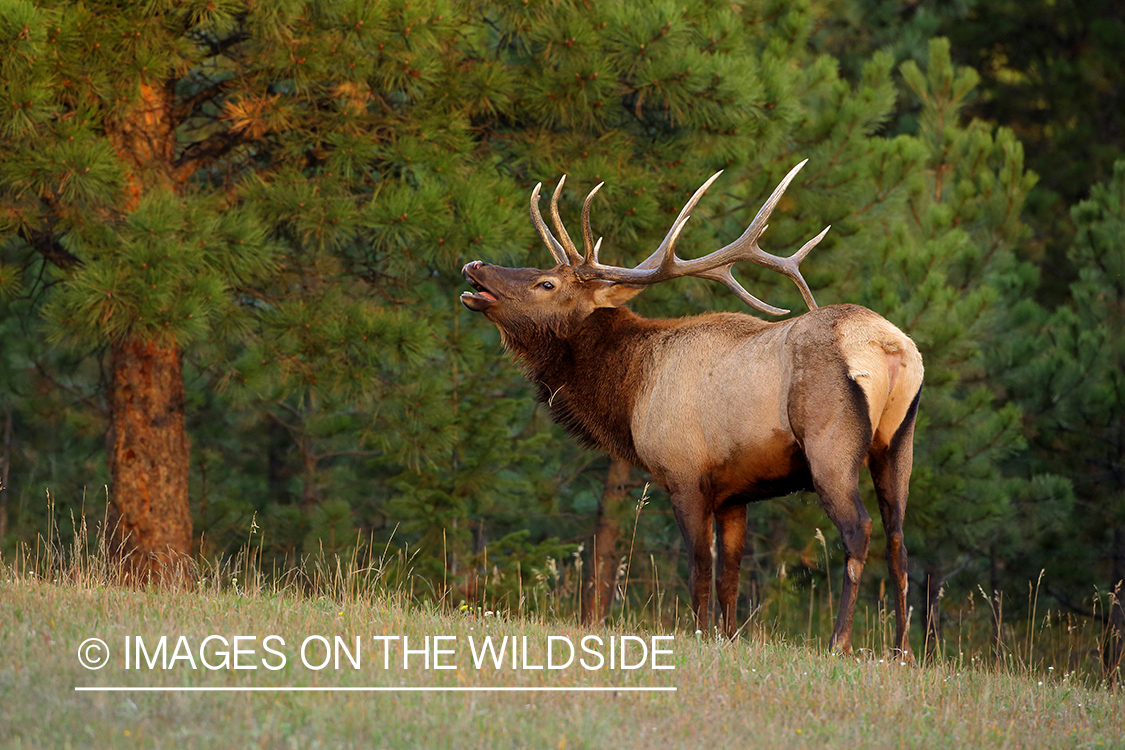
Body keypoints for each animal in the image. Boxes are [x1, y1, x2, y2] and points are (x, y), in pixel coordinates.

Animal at [456, 159, 922, 656]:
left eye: (547, 282)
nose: (475, 264)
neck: (630, 394)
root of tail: (889, 347)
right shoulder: (736, 493)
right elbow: (730, 578)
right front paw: (729, 636)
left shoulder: (683, 473)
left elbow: (699, 567)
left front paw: (700, 633)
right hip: (897, 444)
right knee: (898, 542)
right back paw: (902, 652)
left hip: (830, 444)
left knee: (859, 530)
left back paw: (840, 642)